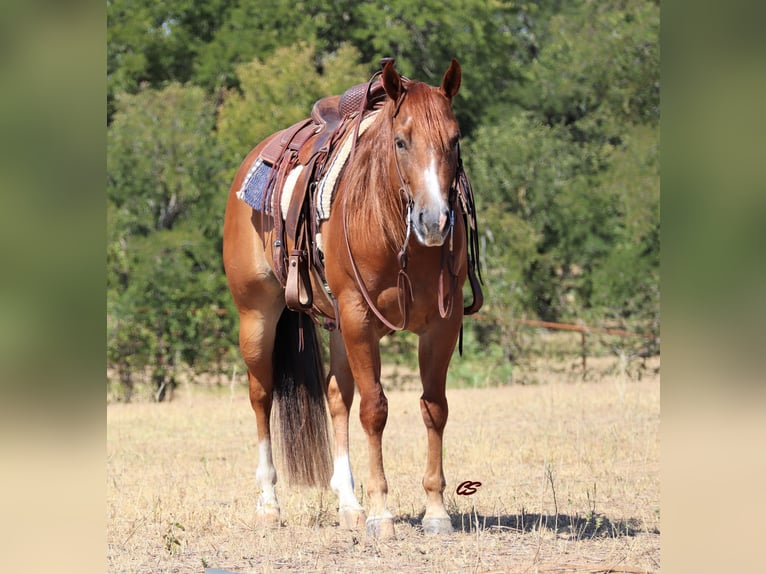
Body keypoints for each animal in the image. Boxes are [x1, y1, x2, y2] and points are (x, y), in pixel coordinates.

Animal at [222, 59, 480, 540]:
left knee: (336, 397)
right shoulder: (361, 319)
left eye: (455, 140)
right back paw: (269, 504)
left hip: (339, 326)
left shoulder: (442, 324)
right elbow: (375, 410)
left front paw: (436, 511)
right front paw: (382, 512)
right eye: (401, 141)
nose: (434, 221)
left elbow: (434, 408)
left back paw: (348, 503)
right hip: (257, 316)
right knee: (261, 396)